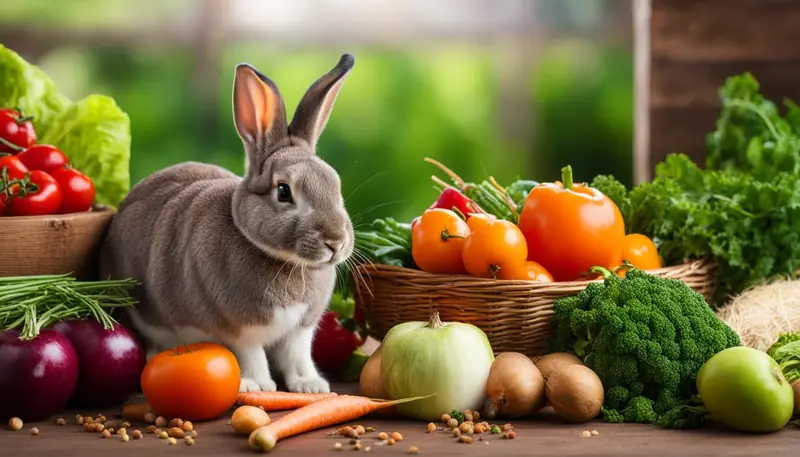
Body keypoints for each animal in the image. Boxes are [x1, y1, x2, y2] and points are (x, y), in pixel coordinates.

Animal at [98, 54, 357, 394]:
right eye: (283, 191)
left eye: (336, 186)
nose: (336, 242)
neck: (284, 261)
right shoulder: (239, 330)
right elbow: (251, 355)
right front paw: (258, 386)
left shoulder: (299, 330)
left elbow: (297, 356)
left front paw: (311, 386)